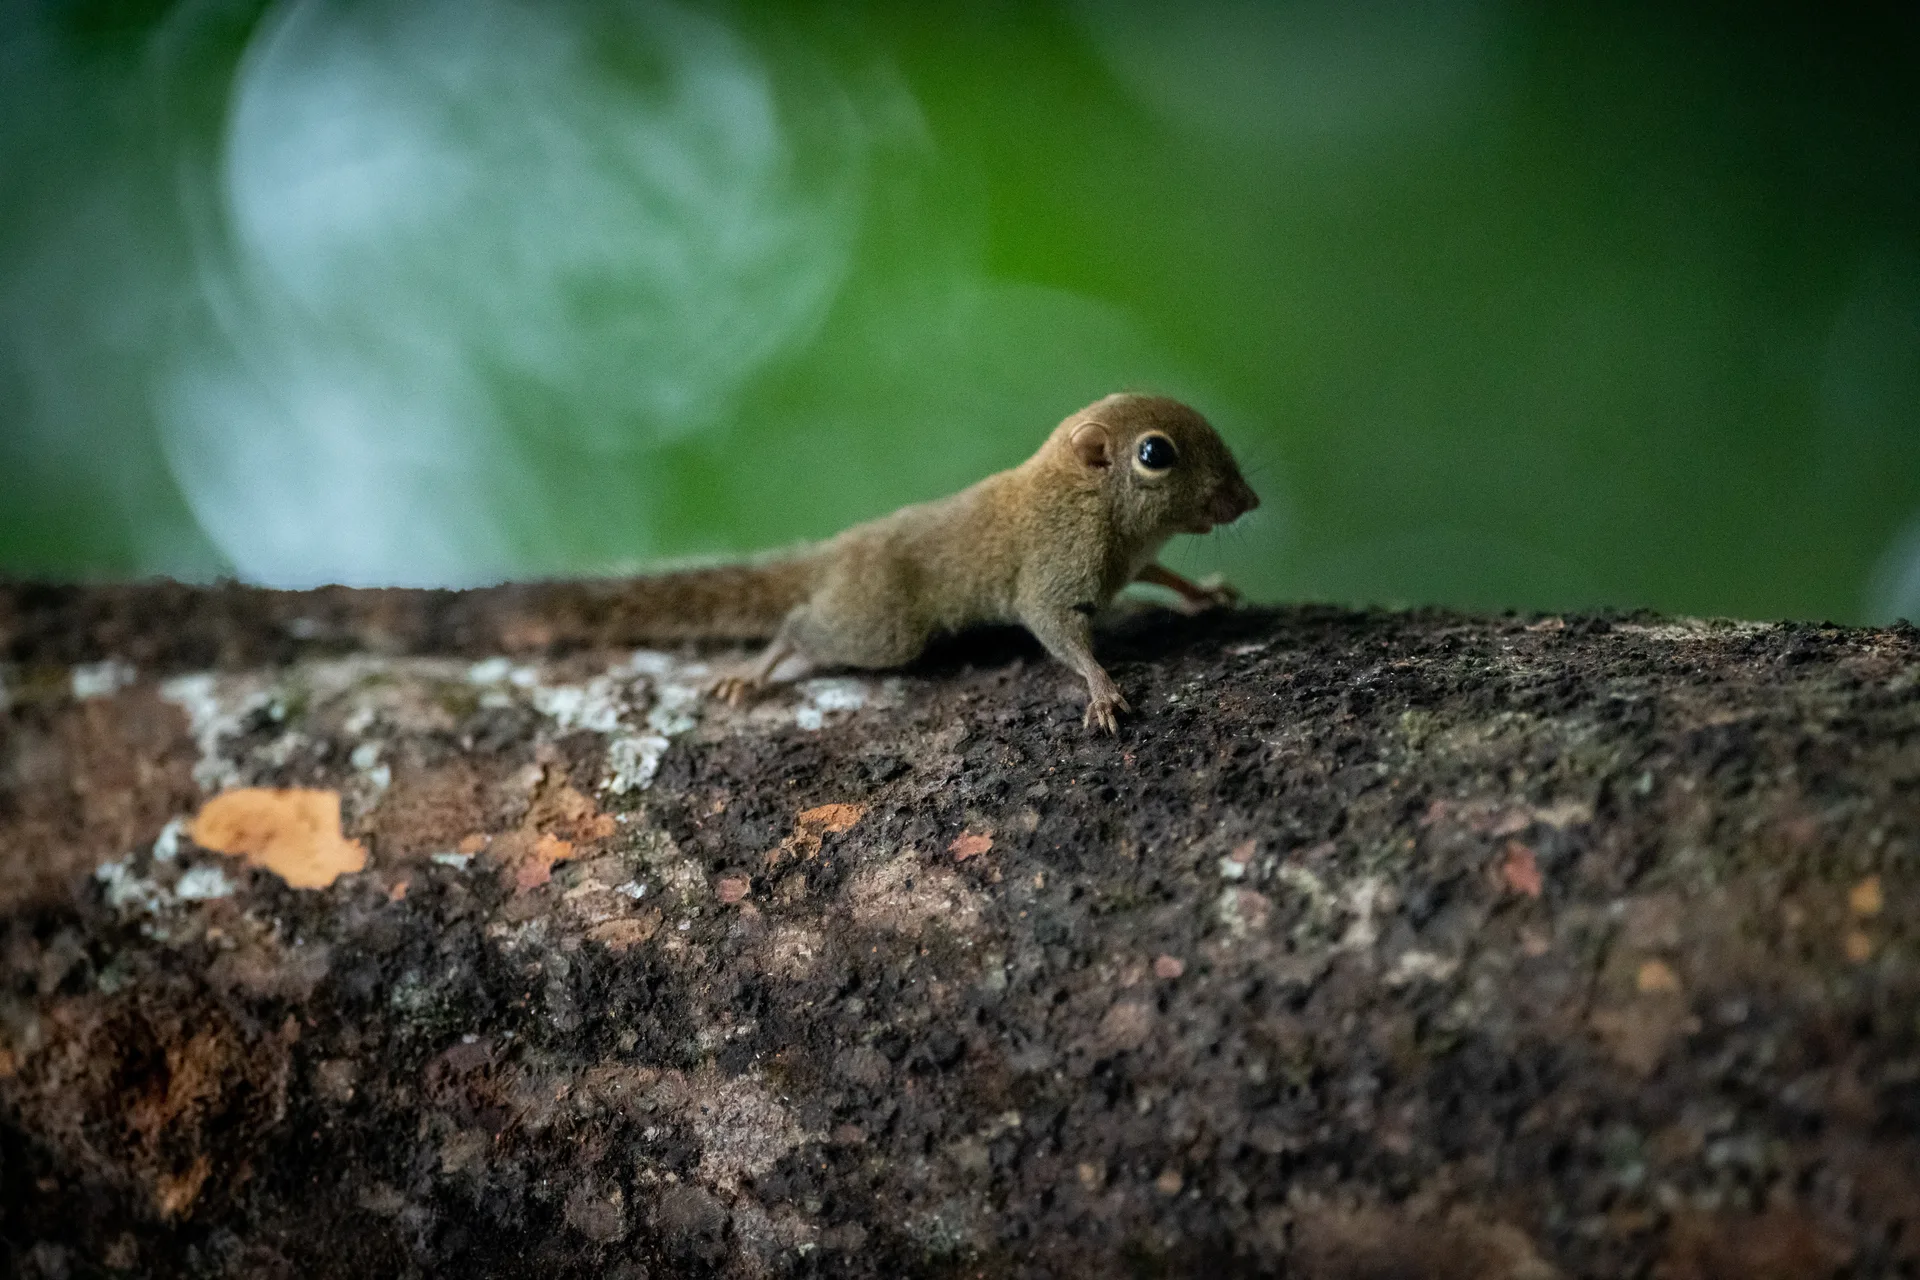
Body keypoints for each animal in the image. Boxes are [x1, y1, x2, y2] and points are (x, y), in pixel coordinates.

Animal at [538, 393, 1259, 731]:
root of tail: (839, 551)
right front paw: (1103, 689)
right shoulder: (1054, 569)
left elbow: (1160, 576)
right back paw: (758, 669)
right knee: (800, 626)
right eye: (1155, 454)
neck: (1083, 497)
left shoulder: (1128, 563)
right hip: (882, 627)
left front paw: (1206, 594)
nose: (1248, 500)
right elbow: (1056, 630)